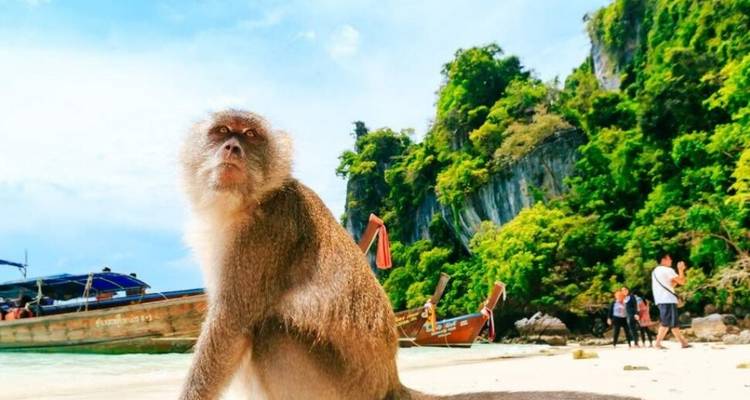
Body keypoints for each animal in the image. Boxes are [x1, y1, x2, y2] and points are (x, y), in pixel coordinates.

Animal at [178, 109, 640, 400]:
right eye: (221, 132)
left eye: (250, 136)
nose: (233, 149)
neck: (247, 202)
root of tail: (390, 386)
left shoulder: (264, 233)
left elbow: (232, 324)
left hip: (340, 388)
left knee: (270, 330)